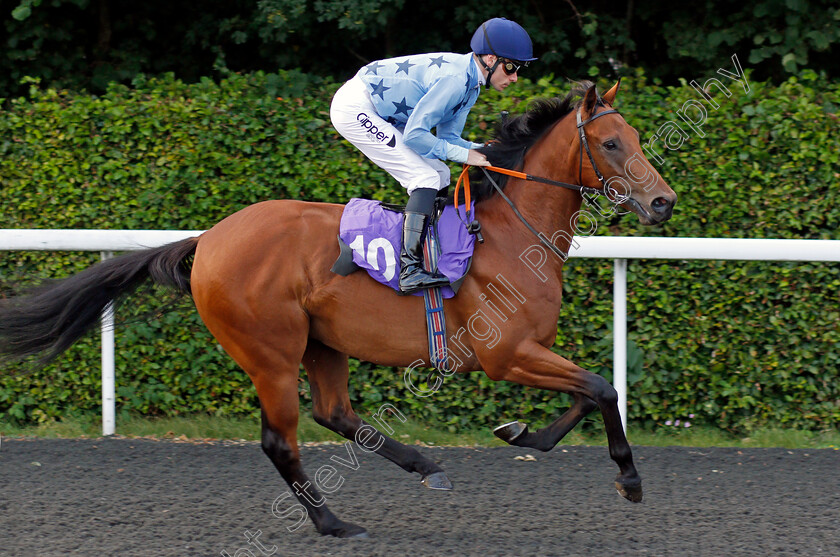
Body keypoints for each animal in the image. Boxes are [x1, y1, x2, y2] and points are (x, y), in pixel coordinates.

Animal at [0, 80, 676, 536]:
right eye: (611, 144)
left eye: (638, 139)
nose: (663, 202)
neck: (510, 235)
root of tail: (208, 240)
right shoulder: (504, 353)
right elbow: (602, 388)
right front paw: (631, 479)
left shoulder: (528, 351)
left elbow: (591, 391)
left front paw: (522, 433)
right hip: (270, 352)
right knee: (281, 439)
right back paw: (333, 523)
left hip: (322, 342)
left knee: (336, 413)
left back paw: (424, 466)